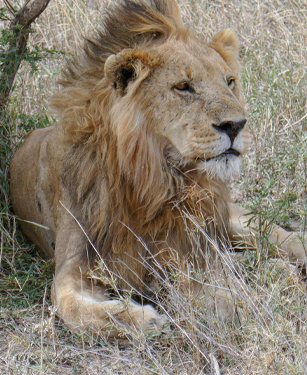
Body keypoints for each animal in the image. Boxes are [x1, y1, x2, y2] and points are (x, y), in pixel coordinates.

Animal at [10, 0, 307, 338]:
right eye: (184, 87)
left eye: (229, 82)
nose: (236, 125)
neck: (155, 179)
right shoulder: (74, 267)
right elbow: (71, 307)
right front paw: (146, 320)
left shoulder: (188, 253)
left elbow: (216, 286)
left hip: (236, 222)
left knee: (283, 242)